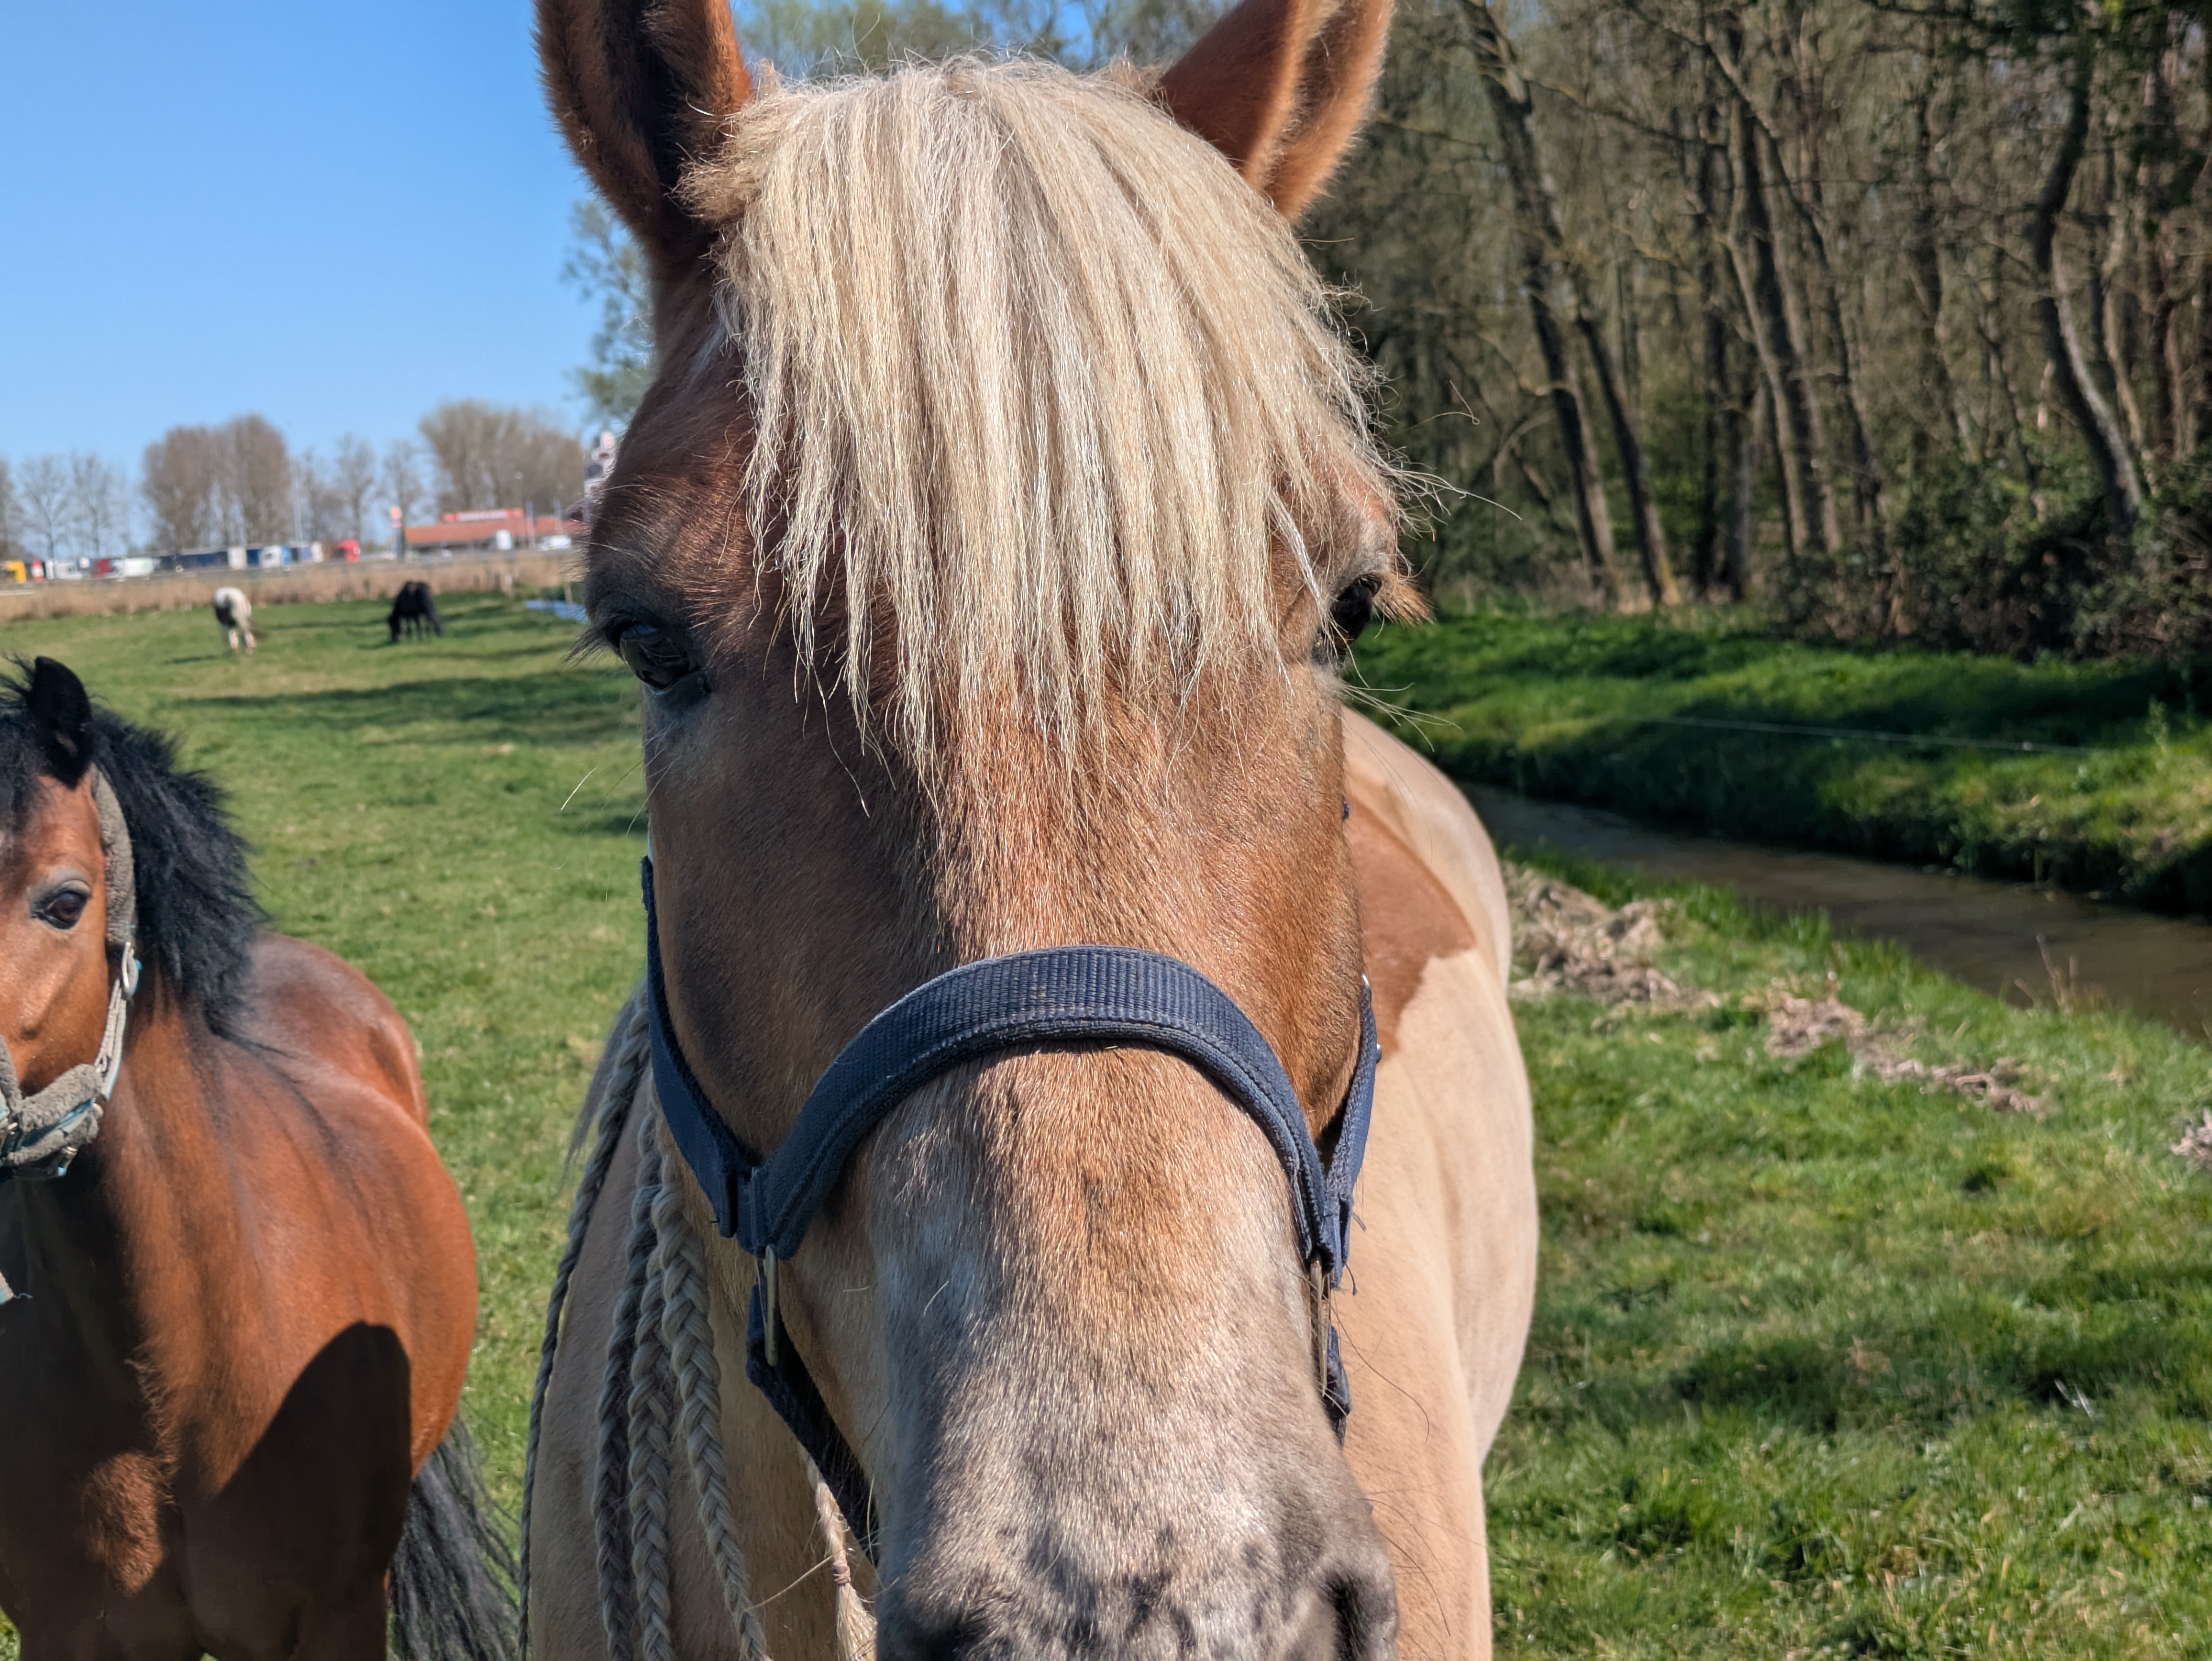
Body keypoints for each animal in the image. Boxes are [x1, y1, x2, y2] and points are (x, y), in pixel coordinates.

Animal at [389, 581, 443, 642]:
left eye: (393, 625)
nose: (394, 639)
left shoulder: (409, 615)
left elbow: (410, 627)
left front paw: (410, 638)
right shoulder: (416, 615)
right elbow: (418, 626)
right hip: (429, 610)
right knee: (431, 622)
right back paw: (432, 637)